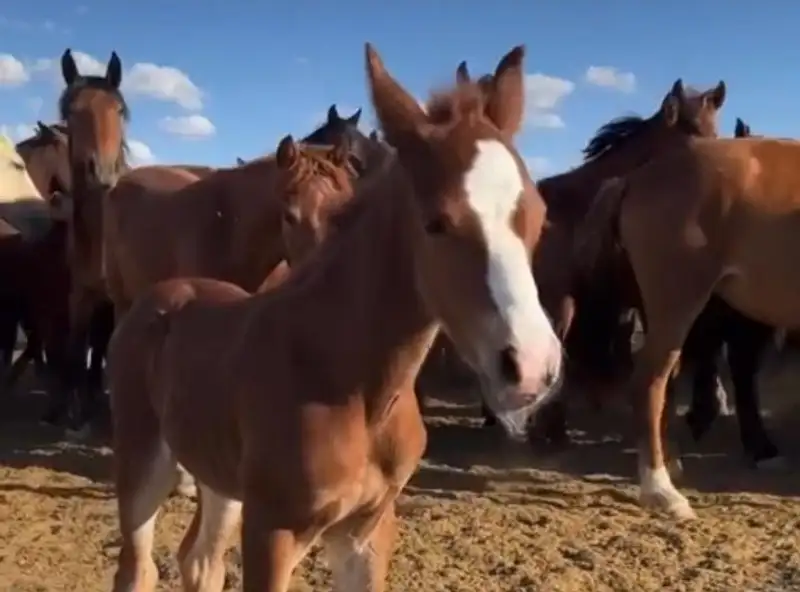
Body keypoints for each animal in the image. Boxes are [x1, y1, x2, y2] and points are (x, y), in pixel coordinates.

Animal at [108, 42, 564, 592]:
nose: (531, 368)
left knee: (200, 561)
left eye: (539, 215)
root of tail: (161, 296)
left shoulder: (366, 532)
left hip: (218, 476)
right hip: (142, 461)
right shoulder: (272, 530)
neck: (358, 389)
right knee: (138, 567)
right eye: (435, 222)